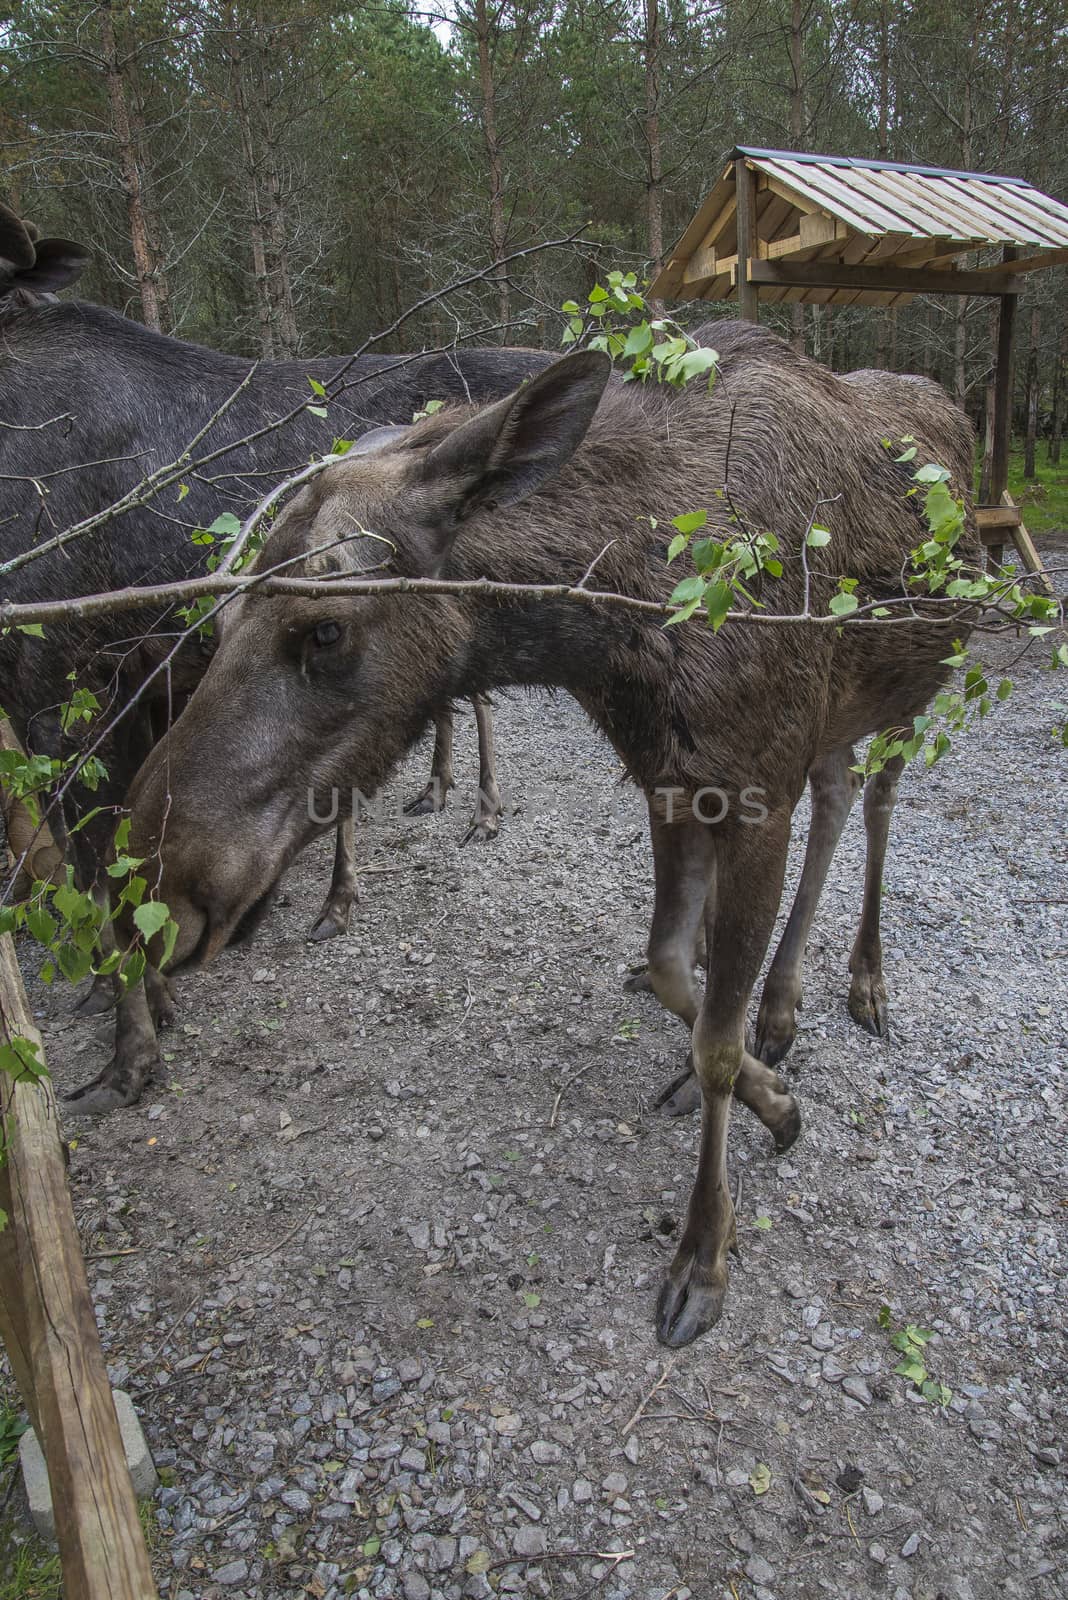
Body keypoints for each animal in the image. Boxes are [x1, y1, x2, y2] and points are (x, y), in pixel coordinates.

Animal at [123, 328, 978, 1350]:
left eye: (323, 629)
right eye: (220, 616)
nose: (160, 885)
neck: (616, 627)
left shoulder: (752, 791)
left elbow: (713, 1041)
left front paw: (705, 1253)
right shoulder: (671, 783)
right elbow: (671, 973)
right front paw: (769, 1096)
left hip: (919, 686)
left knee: (878, 803)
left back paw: (862, 984)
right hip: (835, 721)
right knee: (839, 794)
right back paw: (781, 1009)